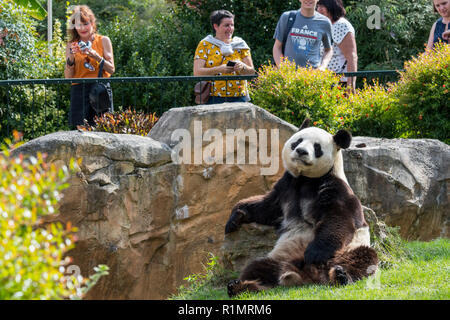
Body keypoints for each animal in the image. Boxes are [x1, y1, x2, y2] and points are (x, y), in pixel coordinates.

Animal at [227, 119, 378, 298]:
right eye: (298, 141)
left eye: (317, 147)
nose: (301, 151)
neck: (304, 179)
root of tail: (306, 276)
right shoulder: (286, 186)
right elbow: (266, 207)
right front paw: (235, 218)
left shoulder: (335, 187)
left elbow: (339, 218)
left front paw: (314, 253)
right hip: (281, 256)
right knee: (257, 268)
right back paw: (240, 286)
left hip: (349, 249)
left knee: (362, 259)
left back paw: (341, 276)